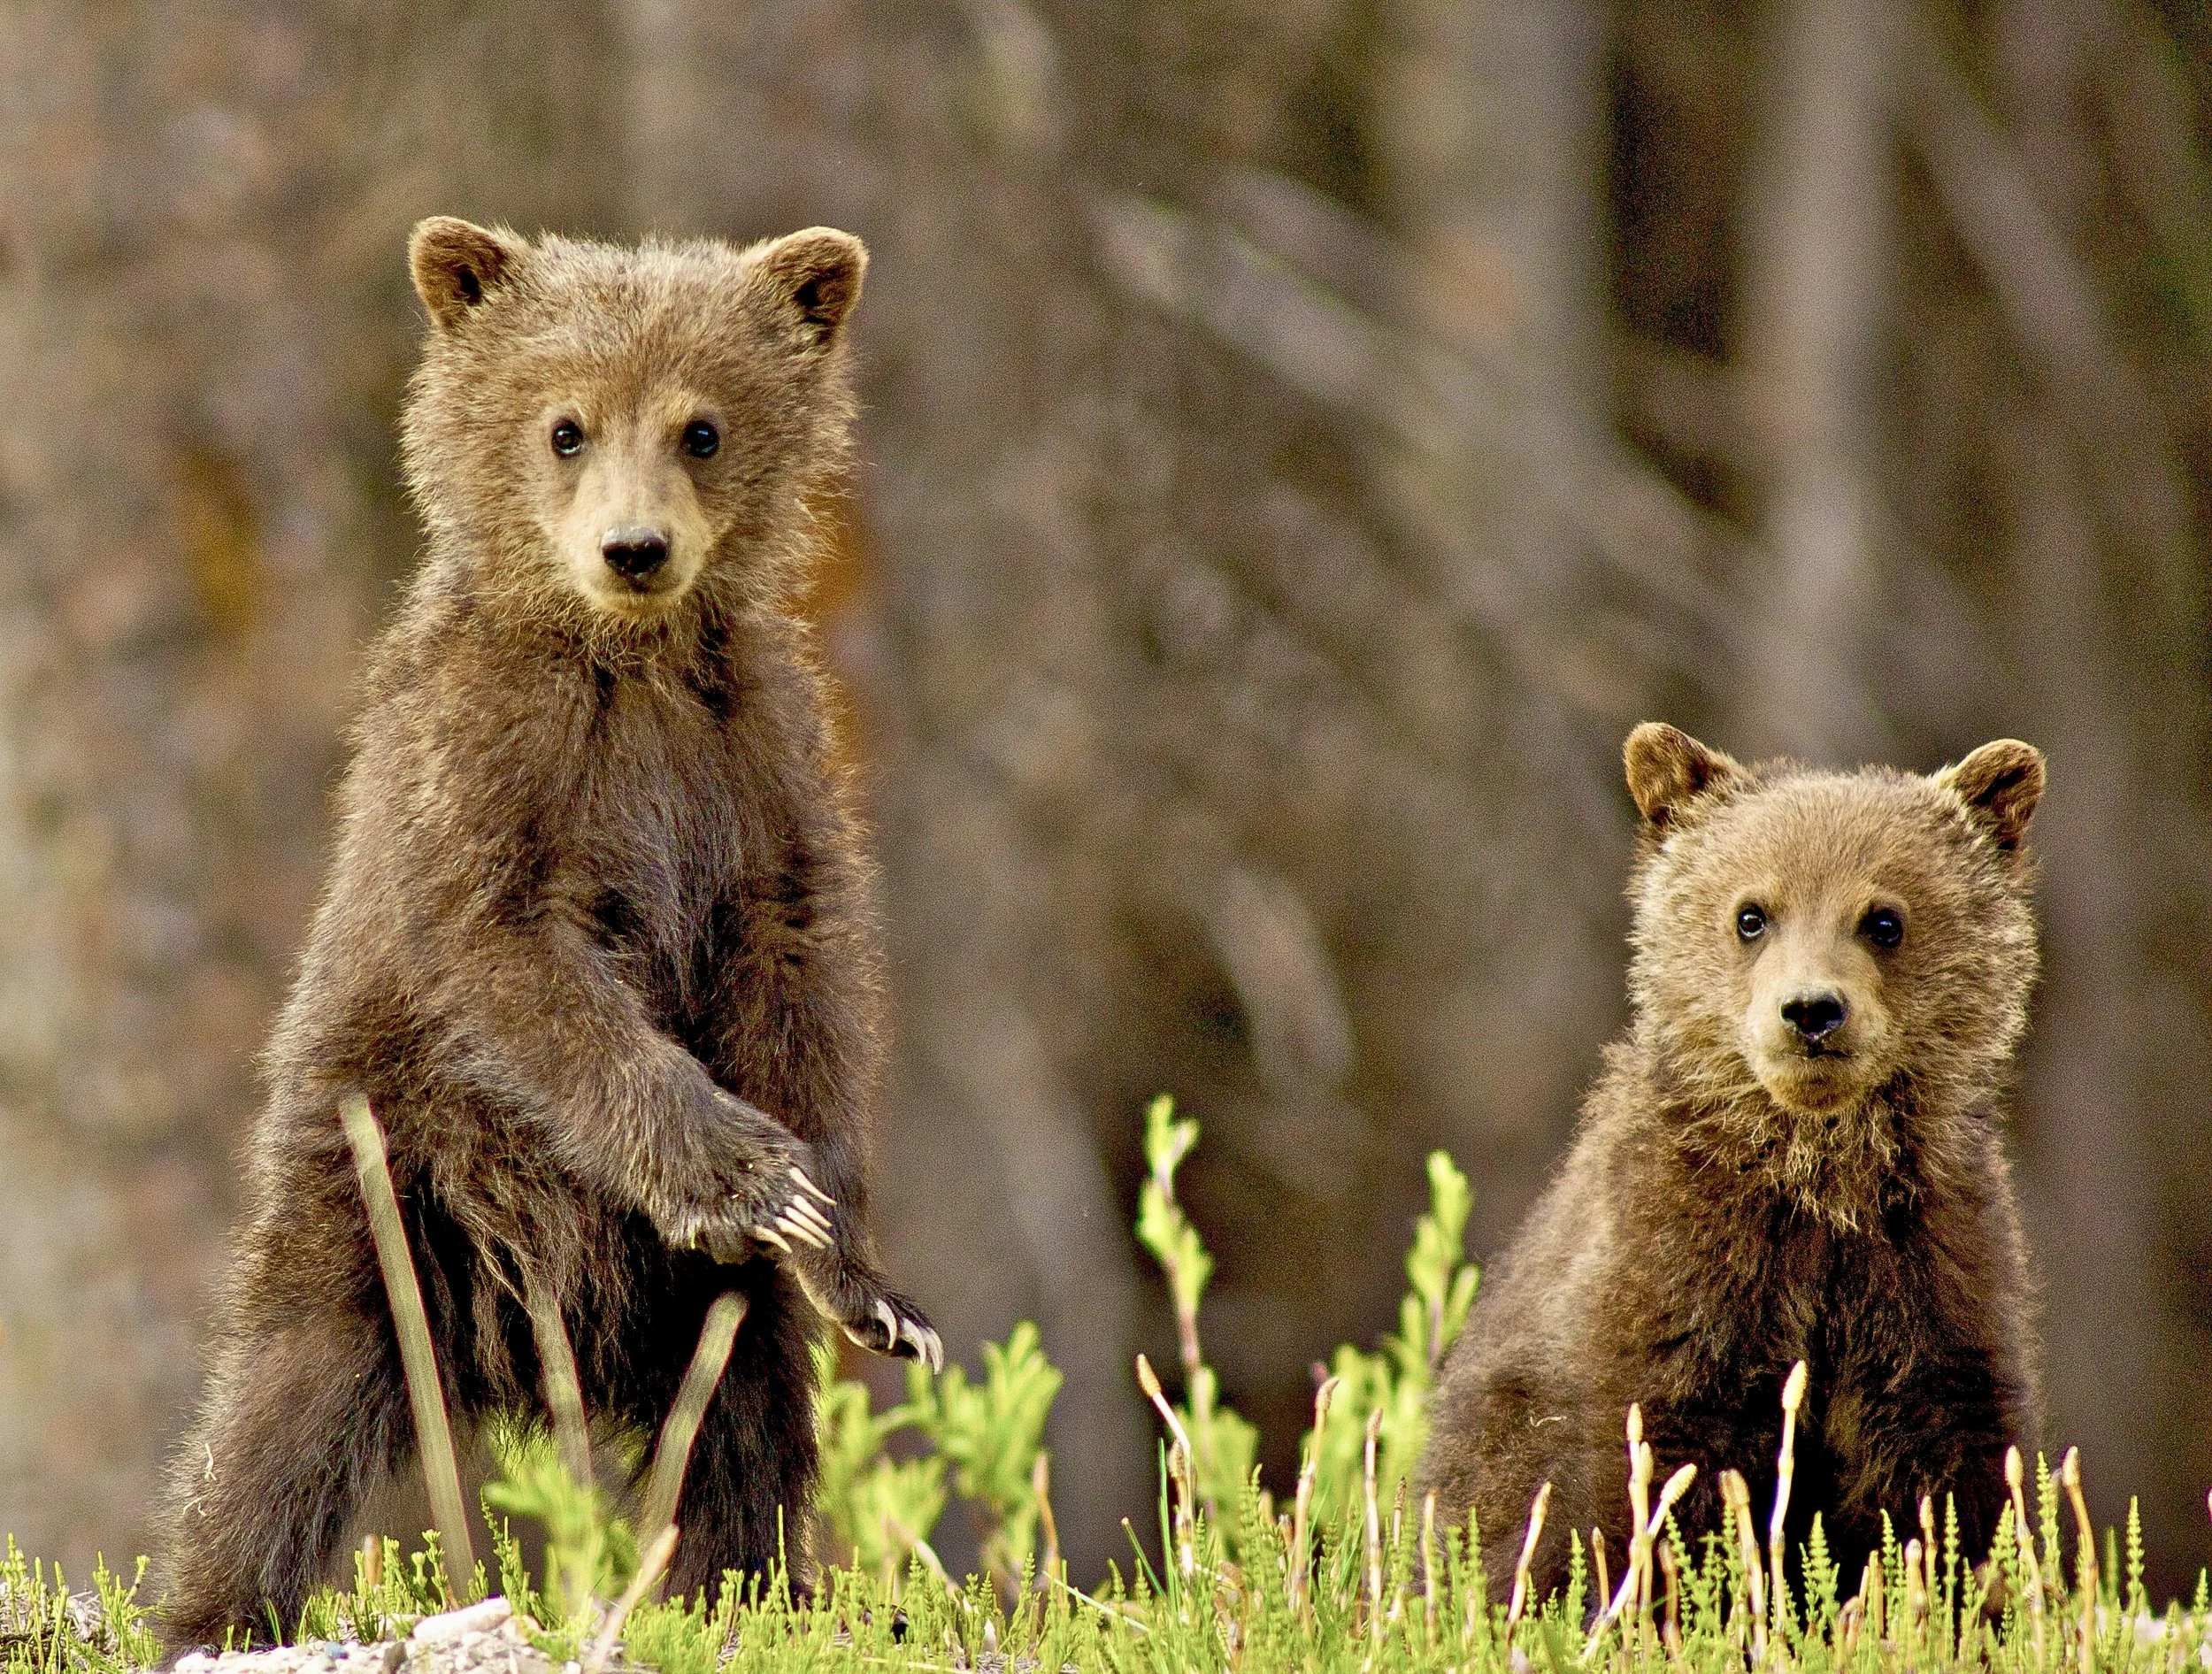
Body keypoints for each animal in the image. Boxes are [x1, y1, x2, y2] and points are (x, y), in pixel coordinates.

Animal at [159, 215, 940, 1651]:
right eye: (566, 425)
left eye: (701, 427)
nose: (635, 549)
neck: (627, 662)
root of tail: (528, 1356)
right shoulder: (486, 771)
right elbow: (518, 969)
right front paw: (748, 1175)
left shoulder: (757, 769)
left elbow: (805, 977)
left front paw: (856, 1262)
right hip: (377, 1198)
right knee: (278, 1414)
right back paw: (219, 1611)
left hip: (688, 1311)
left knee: (741, 1421)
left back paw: (740, 1590)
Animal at [1418, 722, 2043, 1607]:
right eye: (1752, 914)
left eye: (1884, 919)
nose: (1811, 1011)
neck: (1819, 1184)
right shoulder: (1680, 1280)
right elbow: (1639, 1477)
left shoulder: (1927, 1274)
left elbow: (1943, 1479)